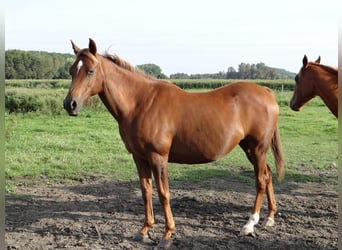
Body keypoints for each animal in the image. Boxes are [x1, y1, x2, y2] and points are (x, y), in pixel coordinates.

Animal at [62, 39, 284, 248]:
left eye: (90, 70)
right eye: (72, 70)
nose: (70, 104)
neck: (140, 104)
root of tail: (266, 91)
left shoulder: (158, 157)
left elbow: (163, 194)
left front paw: (167, 235)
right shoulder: (139, 157)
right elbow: (146, 192)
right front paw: (144, 230)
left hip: (257, 148)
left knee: (261, 180)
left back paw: (249, 225)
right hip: (249, 148)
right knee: (268, 174)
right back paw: (269, 217)